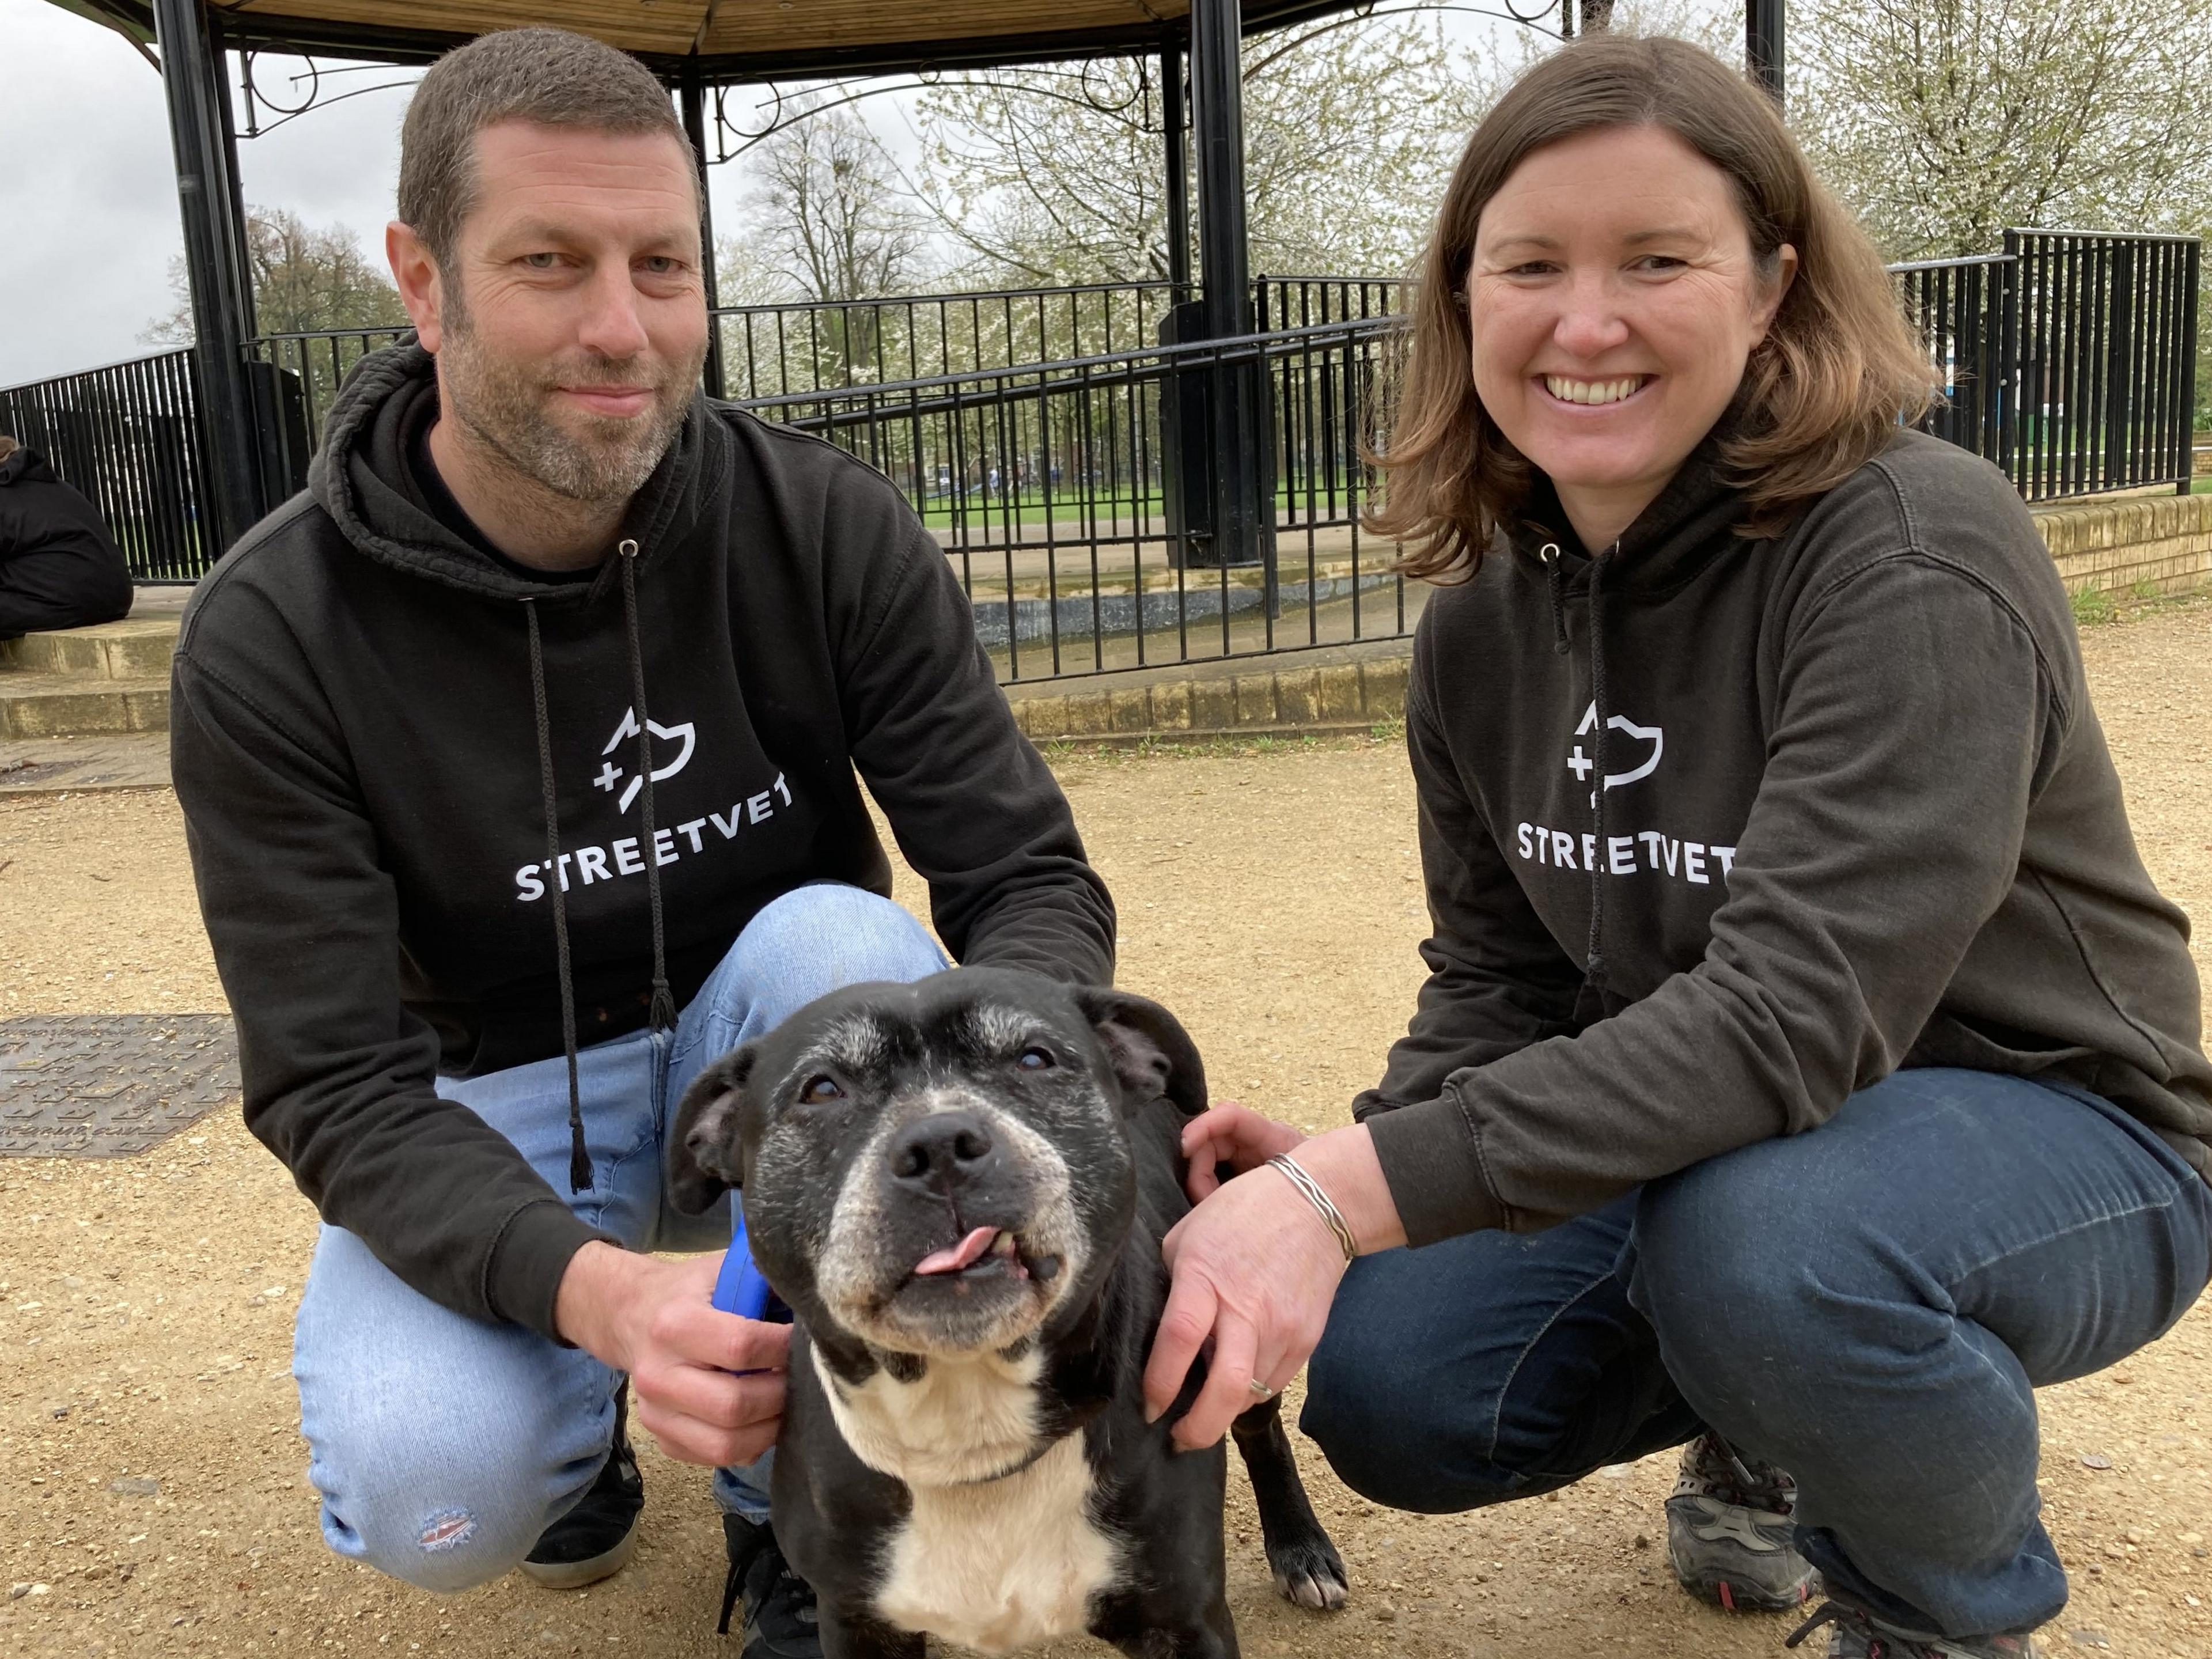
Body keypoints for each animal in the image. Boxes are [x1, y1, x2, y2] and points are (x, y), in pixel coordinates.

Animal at [664, 968, 1344, 1659]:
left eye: (1034, 1058)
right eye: (822, 1089)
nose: (940, 1143)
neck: (970, 1428)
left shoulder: (1184, 1618)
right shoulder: (857, 1621)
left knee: (1261, 1426)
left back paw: (1301, 1547)